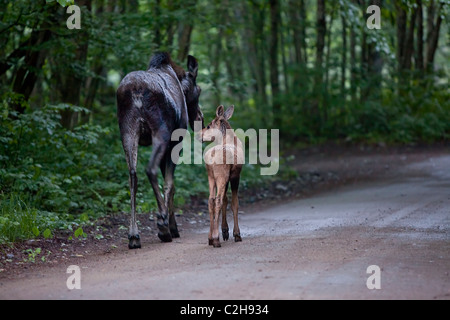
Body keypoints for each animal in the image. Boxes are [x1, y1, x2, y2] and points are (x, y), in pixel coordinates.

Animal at [118, 51, 206, 249]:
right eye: (199, 90)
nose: (201, 118)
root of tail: (135, 90)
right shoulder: (175, 142)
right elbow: (170, 184)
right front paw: (172, 227)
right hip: (161, 132)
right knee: (150, 170)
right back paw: (162, 224)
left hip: (127, 132)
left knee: (132, 175)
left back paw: (134, 235)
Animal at [200, 105, 243, 248]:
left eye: (208, 125)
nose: (198, 134)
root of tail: (212, 155)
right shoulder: (235, 176)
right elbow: (234, 203)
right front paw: (236, 234)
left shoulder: (228, 177)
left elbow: (226, 200)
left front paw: (225, 231)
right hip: (221, 175)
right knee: (217, 200)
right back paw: (215, 238)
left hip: (211, 176)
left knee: (211, 200)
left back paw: (210, 238)